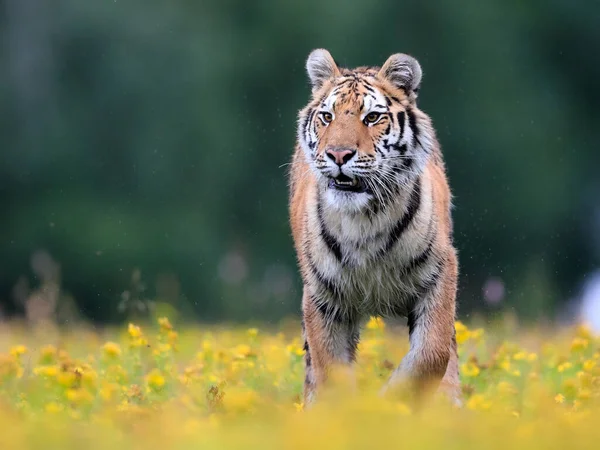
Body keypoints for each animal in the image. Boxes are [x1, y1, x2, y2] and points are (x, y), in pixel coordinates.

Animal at [288, 48, 462, 404]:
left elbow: (432, 353)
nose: (338, 154)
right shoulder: (323, 297)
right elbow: (331, 373)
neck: (364, 219)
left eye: (371, 118)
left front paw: (390, 403)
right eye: (327, 116)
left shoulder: (440, 272)